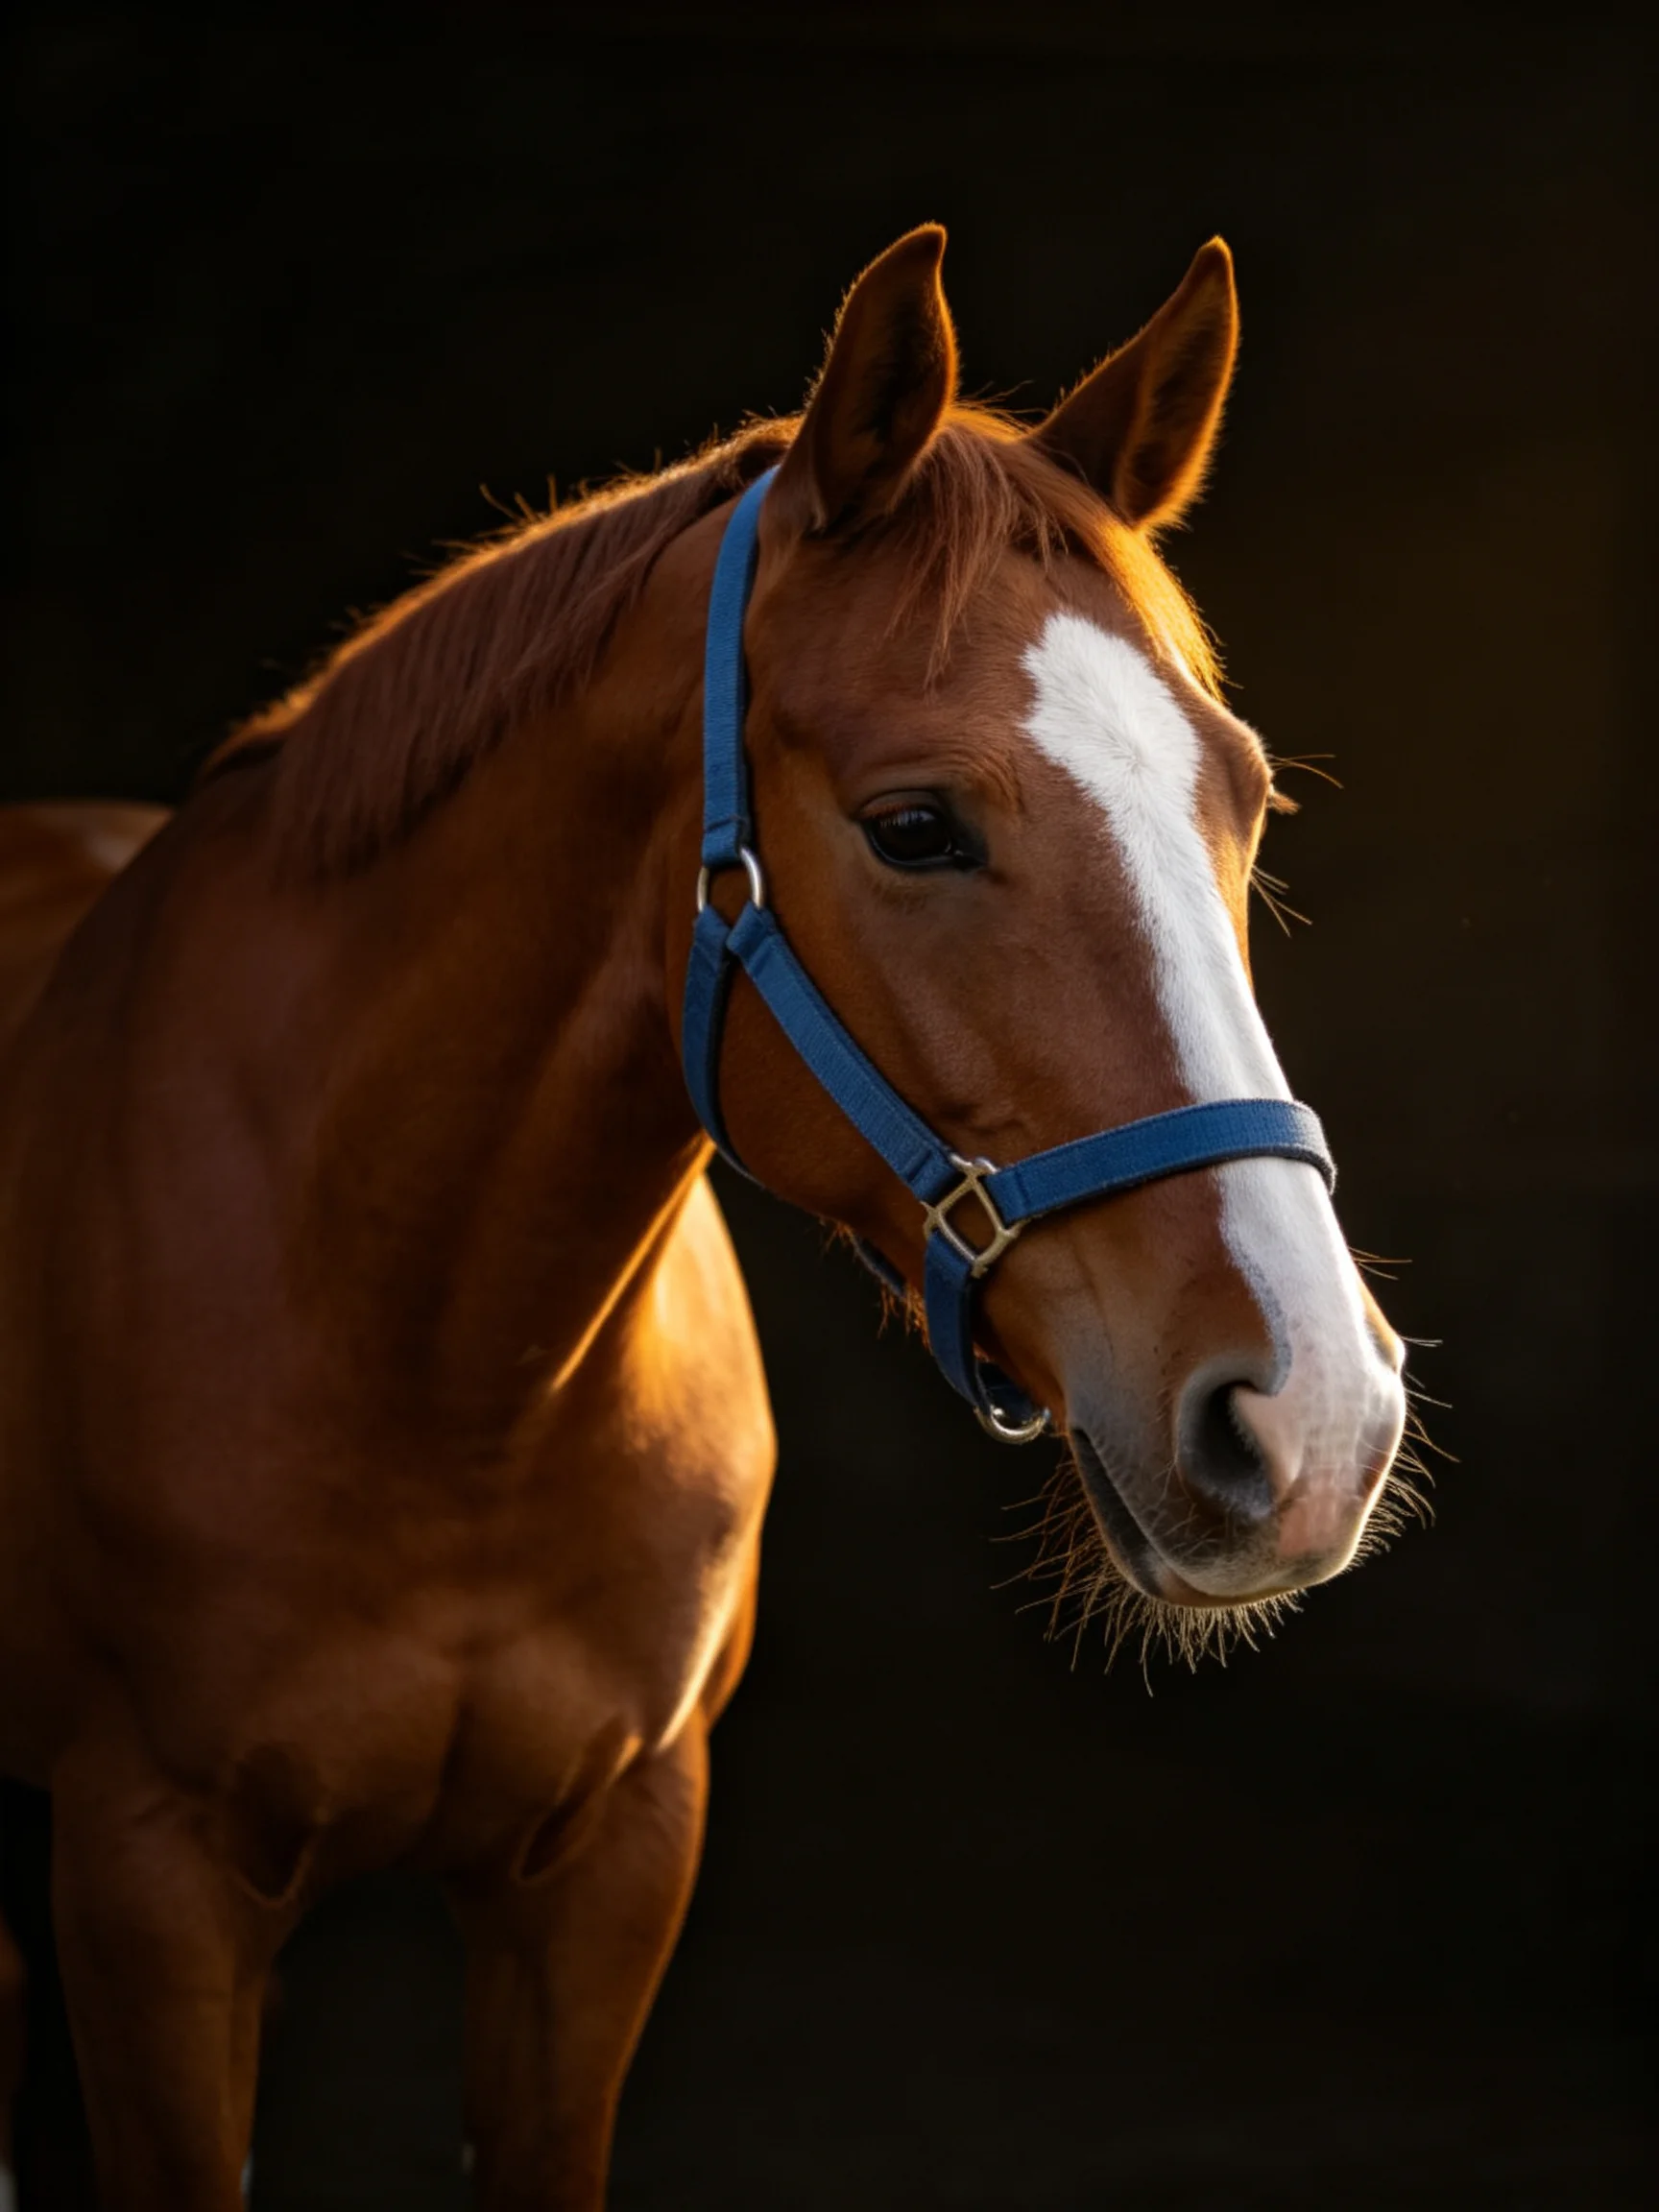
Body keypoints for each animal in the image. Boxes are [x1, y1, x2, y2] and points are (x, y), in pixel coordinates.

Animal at [0, 227, 1407, 2208]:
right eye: (913, 824)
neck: (438, 1378)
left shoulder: (606, 1871)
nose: (1312, 1419)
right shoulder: (150, 1891)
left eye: (1247, 792)